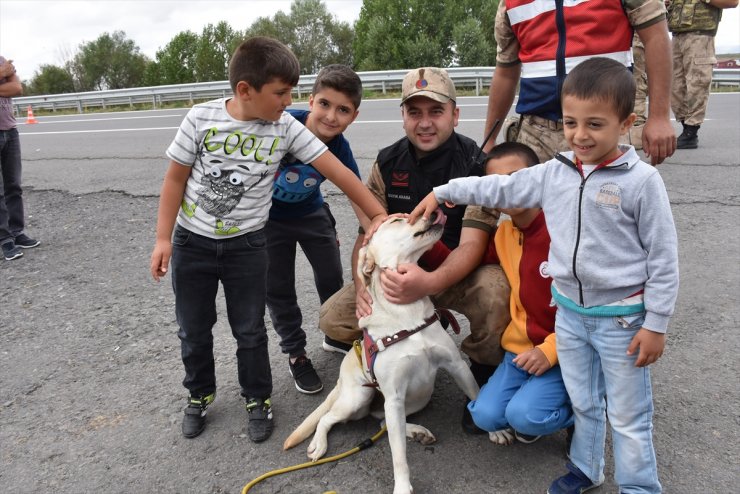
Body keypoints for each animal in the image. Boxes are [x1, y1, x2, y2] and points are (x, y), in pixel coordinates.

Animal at [284, 213, 480, 494]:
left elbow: (476, 393)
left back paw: (417, 431)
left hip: (418, 396)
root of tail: (341, 379)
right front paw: (402, 487)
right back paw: (319, 444)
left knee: (383, 424)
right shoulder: (394, 396)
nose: (433, 212)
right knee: (329, 418)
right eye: (397, 220)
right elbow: (398, 455)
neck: (406, 313)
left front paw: (496, 430)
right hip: (359, 397)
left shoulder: (456, 365)